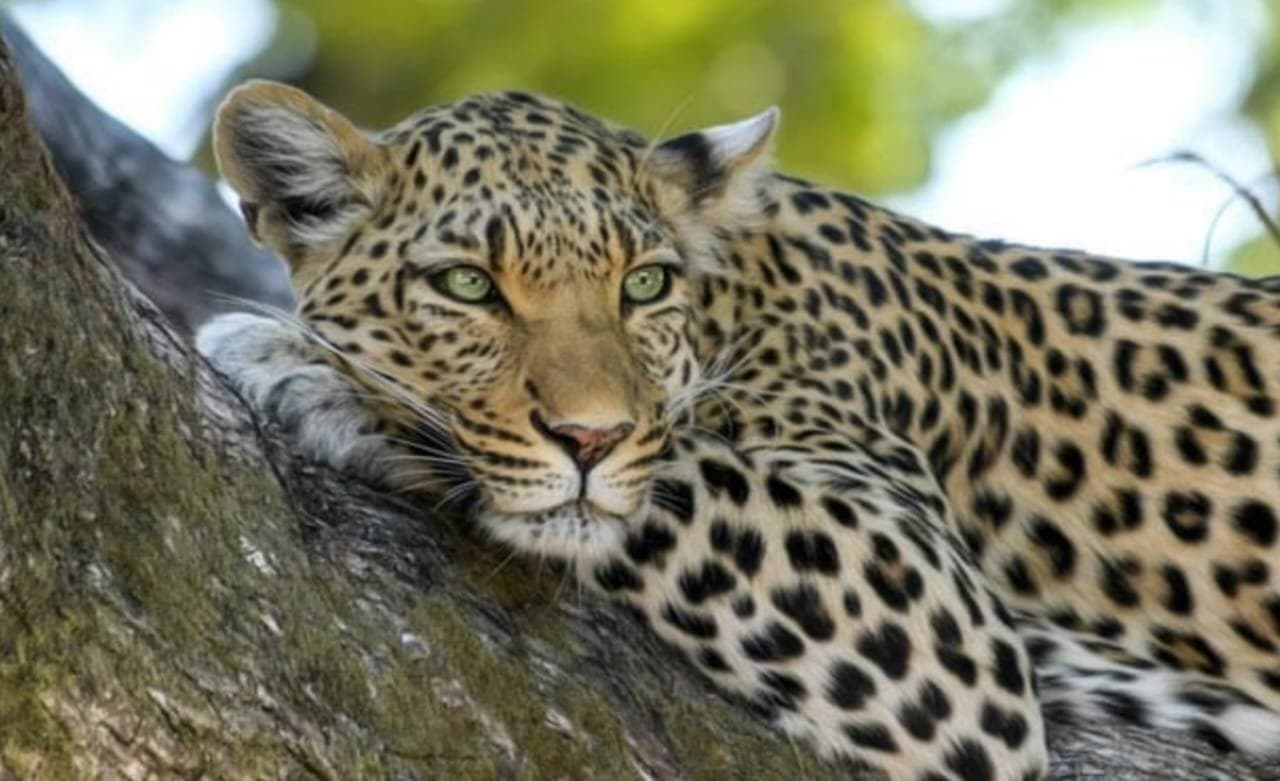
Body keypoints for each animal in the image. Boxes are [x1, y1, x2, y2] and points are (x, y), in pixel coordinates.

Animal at [196, 79, 1280, 780]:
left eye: (642, 285)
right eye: (467, 285)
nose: (588, 438)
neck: (734, 296)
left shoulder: (937, 617)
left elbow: (677, 472)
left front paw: (312, 370)